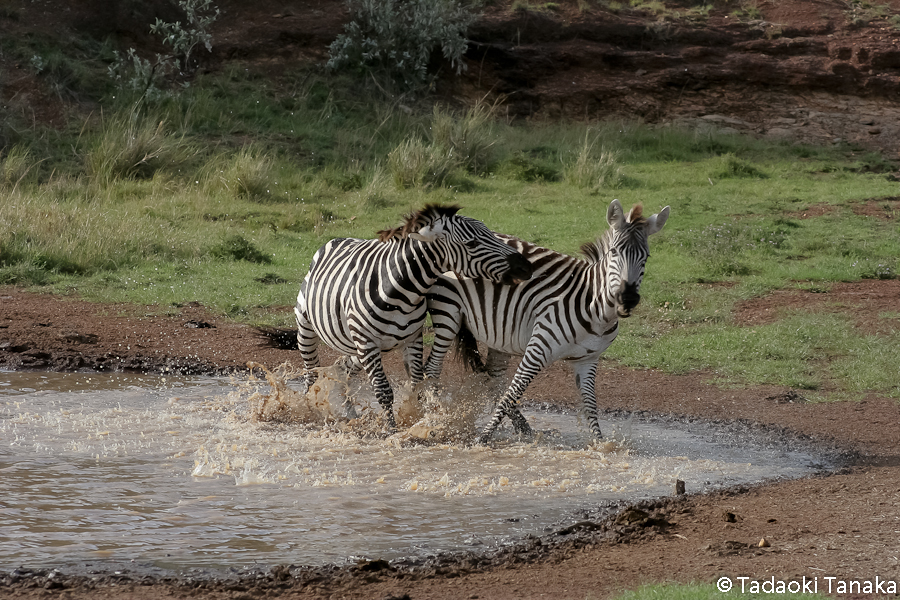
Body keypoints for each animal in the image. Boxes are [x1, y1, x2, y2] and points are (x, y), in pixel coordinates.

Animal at [296, 204, 536, 428]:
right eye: (472, 244)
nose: (526, 267)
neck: (401, 291)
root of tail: (337, 240)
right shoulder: (367, 342)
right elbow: (383, 390)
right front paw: (392, 431)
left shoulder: (412, 339)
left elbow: (417, 386)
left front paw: (415, 421)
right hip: (307, 328)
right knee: (310, 373)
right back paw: (308, 411)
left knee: (343, 368)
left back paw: (348, 410)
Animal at [422, 199, 668, 442]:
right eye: (614, 252)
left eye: (646, 257)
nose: (627, 299)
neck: (596, 309)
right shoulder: (537, 349)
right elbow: (514, 392)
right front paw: (481, 440)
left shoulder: (588, 359)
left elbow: (590, 405)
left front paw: (600, 444)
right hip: (447, 311)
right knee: (432, 368)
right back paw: (431, 417)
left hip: (499, 334)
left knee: (494, 377)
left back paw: (523, 427)